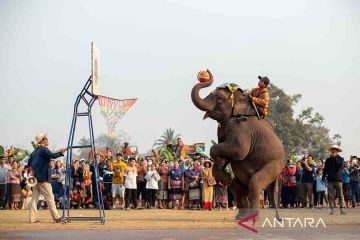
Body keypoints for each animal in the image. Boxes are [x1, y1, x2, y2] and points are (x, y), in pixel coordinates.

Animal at [191, 69, 284, 219]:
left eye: (219, 98)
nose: (205, 73)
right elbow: (226, 151)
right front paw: (223, 168)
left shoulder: (241, 128)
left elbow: (238, 151)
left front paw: (220, 163)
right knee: (237, 186)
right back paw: (241, 216)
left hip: (274, 166)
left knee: (255, 184)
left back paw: (253, 218)